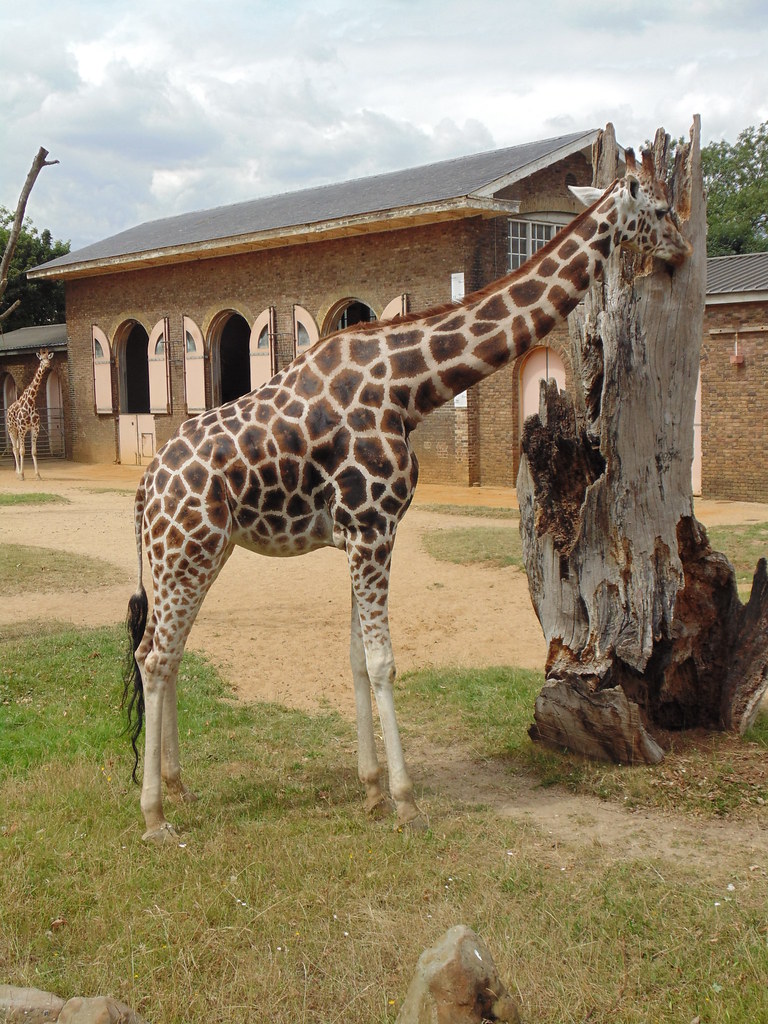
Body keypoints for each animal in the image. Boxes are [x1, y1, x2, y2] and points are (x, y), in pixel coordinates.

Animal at [6, 349, 54, 480]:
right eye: (41, 359)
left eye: (48, 358)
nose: (47, 365)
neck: (31, 401)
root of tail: (8, 410)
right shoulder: (22, 428)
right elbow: (22, 451)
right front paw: (22, 475)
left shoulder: (35, 428)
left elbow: (34, 451)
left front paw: (38, 475)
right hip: (12, 430)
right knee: (15, 448)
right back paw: (18, 472)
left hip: (18, 431)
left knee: (16, 448)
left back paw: (18, 471)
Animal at [124, 149, 692, 842]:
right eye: (659, 208)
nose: (682, 249)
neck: (410, 385)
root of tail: (146, 484)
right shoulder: (374, 529)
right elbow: (381, 661)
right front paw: (403, 798)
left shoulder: (356, 535)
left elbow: (353, 659)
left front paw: (370, 789)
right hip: (186, 550)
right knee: (155, 657)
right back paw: (154, 817)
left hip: (196, 553)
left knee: (165, 652)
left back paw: (181, 789)